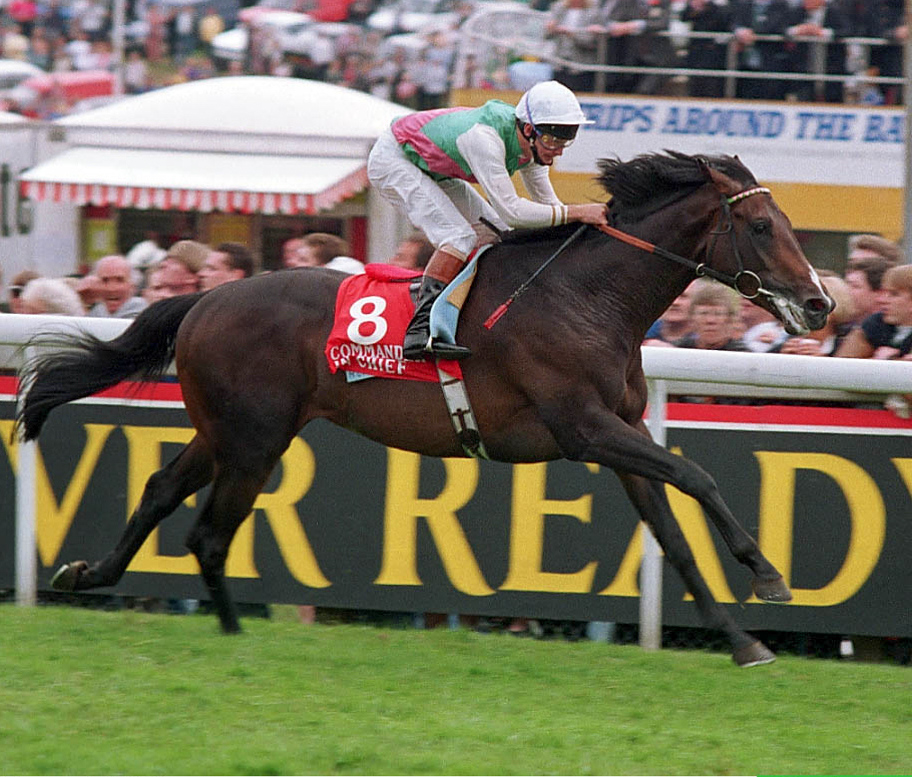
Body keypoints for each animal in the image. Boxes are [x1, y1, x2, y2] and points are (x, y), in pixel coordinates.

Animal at [19, 152, 832, 668]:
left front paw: (743, 642)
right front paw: (768, 576)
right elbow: (698, 476)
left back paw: (92, 577)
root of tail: (205, 298)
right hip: (252, 441)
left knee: (164, 493)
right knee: (210, 531)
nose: (821, 302)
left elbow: (673, 535)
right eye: (762, 227)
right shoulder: (583, 427)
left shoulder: (623, 432)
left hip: (231, 431)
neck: (589, 297)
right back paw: (229, 632)